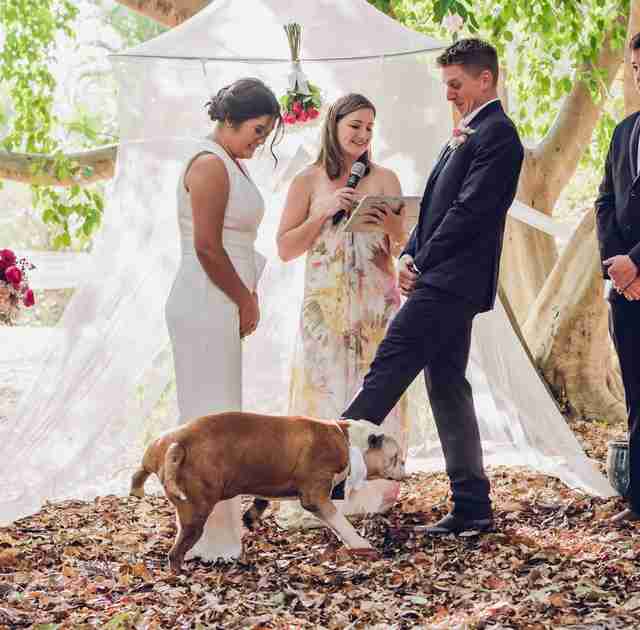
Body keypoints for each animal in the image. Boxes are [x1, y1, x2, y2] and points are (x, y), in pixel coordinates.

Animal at [130, 412, 404, 576]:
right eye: (396, 458)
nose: (404, 470)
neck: (348, 440)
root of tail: (176, 444)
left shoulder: (271, 480)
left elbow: (262, 500)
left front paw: (251, 518)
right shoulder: (316, 497)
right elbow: (341, 523)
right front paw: (360, 544)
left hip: (154, 458)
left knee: (140, 472)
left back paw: (136, 489)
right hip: (196, 513)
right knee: (176, 551)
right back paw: (179, 572)